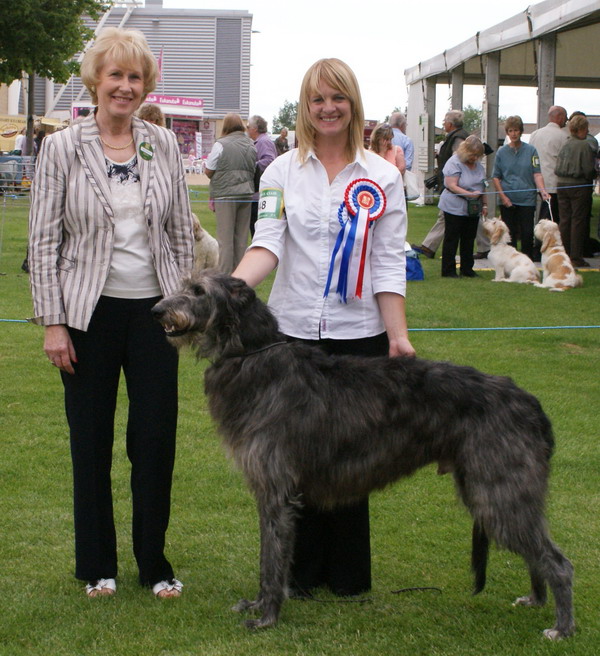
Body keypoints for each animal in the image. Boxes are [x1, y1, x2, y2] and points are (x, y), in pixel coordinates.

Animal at [152, 270, 576, 640]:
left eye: (198, 291)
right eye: (185, 285)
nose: (157, 310)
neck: (255, 356)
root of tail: (530, 403)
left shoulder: (276, 490)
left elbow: (272, 558)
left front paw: (267, 616)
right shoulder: (269, 491)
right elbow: (266, 556)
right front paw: (258, 604)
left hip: (498, 489)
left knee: (559, 562)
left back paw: (562, 627)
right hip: (495, 489)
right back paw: (536, 599)